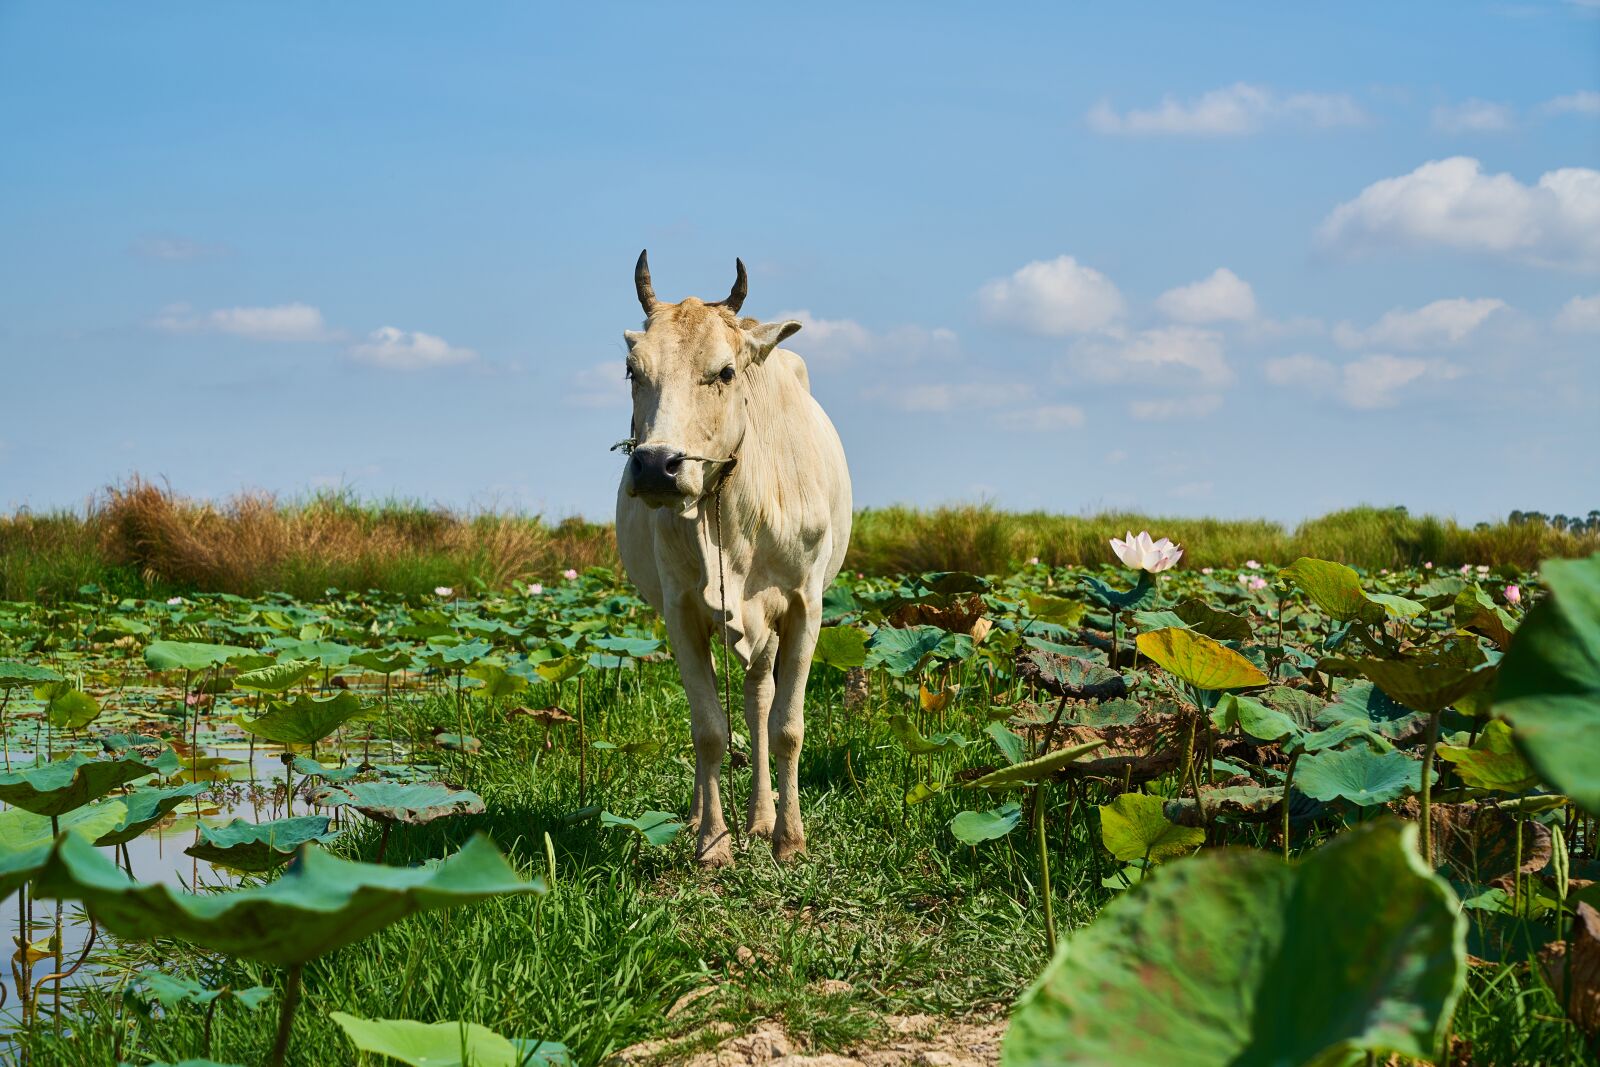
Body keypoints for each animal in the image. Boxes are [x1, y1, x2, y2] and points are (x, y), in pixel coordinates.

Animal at [615, 251, 852, 867]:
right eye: (632, 370)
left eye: (724, 372)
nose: (656, 466)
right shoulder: (679, 611)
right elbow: (707, 730)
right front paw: (712, 842)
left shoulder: (804, 607)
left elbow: (786, 726)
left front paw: (789, 838)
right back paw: (706, 817)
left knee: (757, 702)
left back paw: (762, 818)